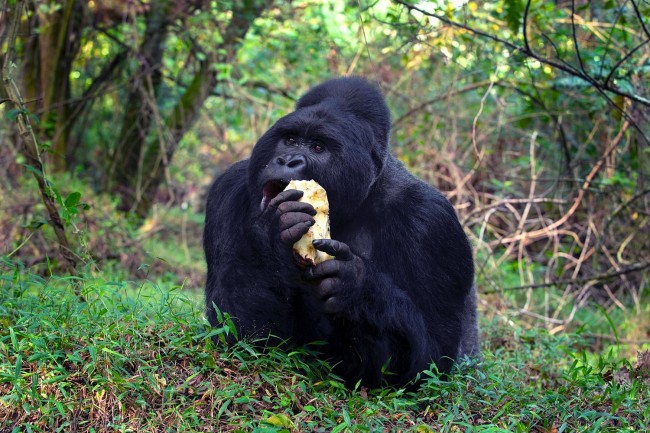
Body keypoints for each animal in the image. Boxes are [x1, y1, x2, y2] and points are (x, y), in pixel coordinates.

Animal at [202, 76, 476, 386]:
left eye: (318, 148)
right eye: (290, 140)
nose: (288, 160)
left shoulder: (431, 220)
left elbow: (431, 358)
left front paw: (356, 287)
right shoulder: (228, 188)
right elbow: (242, 331)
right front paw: (272, 230)